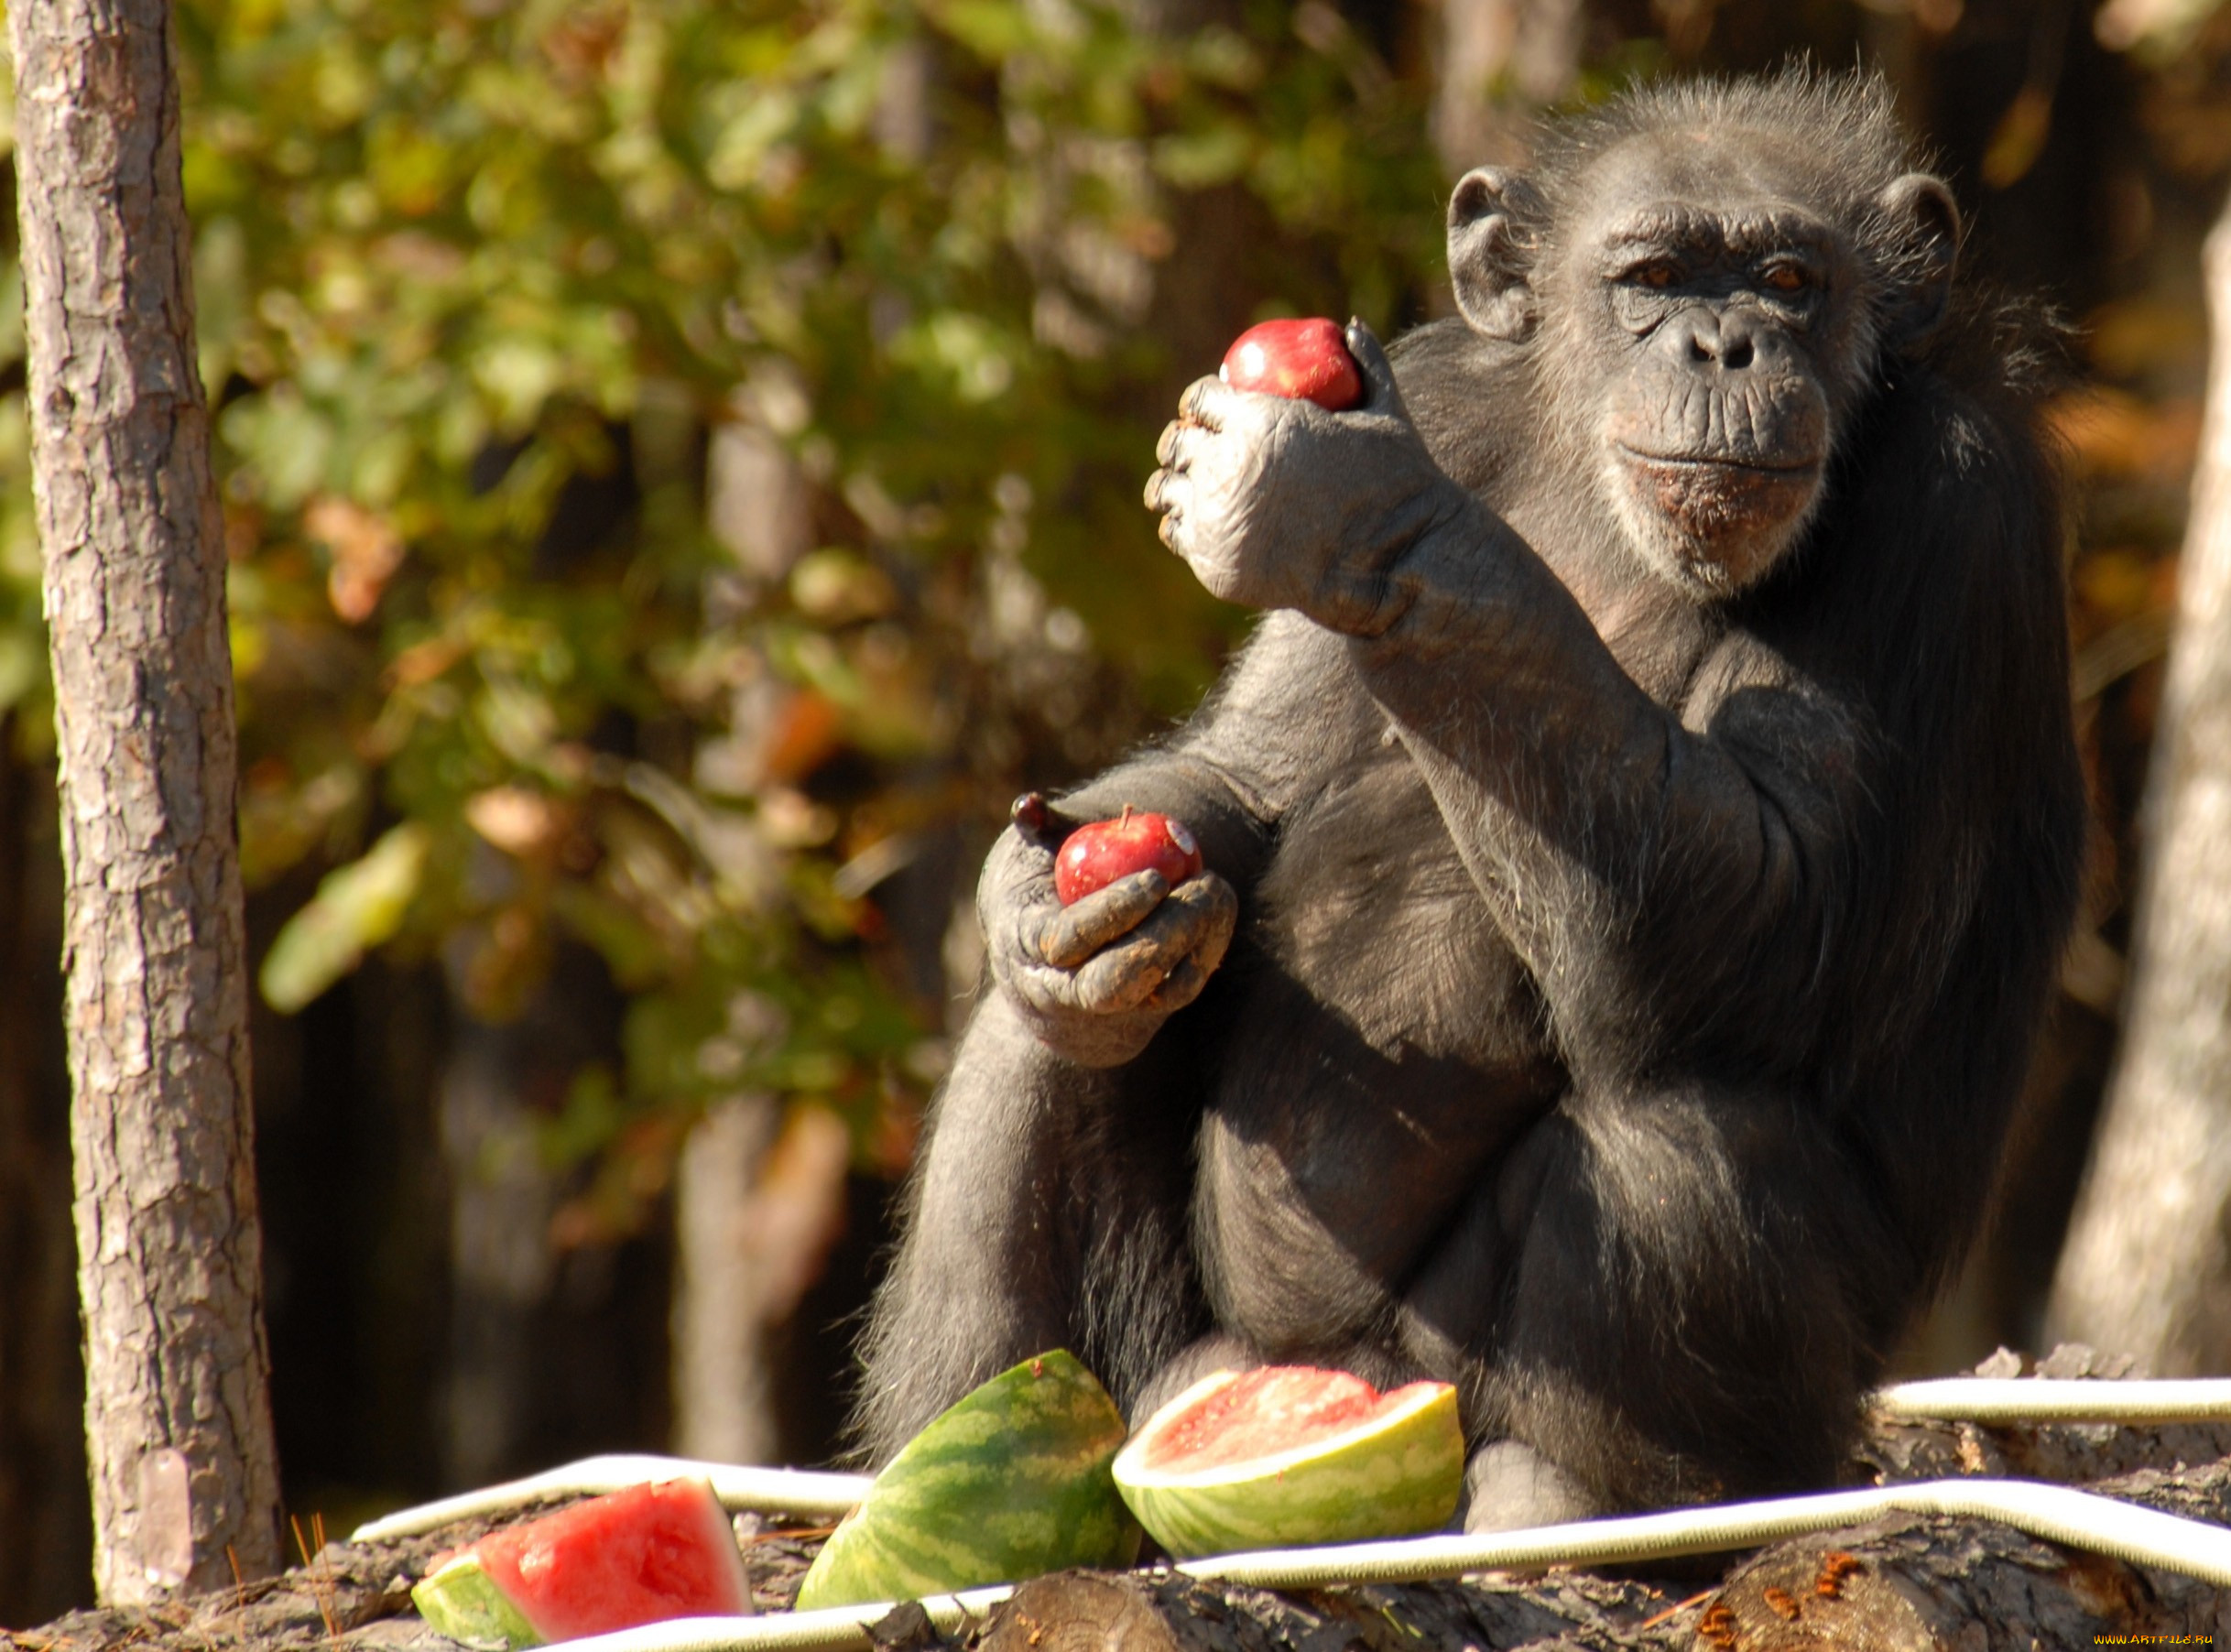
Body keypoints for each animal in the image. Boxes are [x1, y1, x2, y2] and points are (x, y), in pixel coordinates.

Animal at [856, 71, 2088, 1525]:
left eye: (1792, 280)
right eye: (1656, 277)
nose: (1725, 346)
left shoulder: (1950, 509)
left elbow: (1779, 918)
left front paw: (1350, 510)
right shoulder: (1442, 393)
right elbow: (1253, 777)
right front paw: (1052, 910)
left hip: (1695, 1408)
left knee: (1682, 1129)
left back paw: (1563, 1499)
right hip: (1192, 1354)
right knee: (1037, 1048)